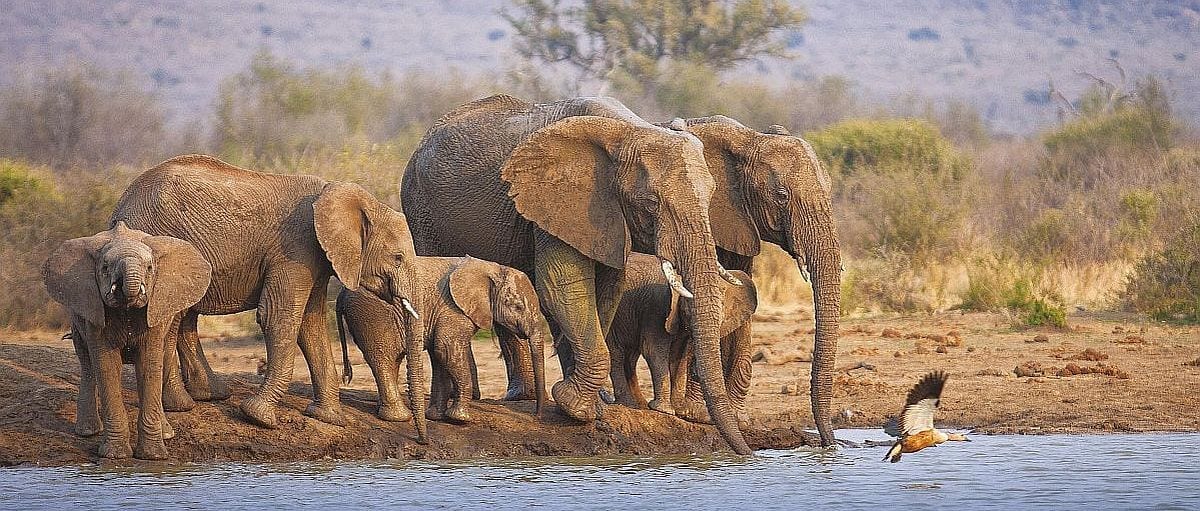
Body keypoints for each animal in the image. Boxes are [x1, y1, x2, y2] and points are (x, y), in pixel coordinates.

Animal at [42, 222, 212, 459]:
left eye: (150, 268)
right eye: (105, 267)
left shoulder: (156, 309)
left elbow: (149, 364)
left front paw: (153, 457)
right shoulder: (93, 309)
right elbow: (107, 365)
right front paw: (115, 456)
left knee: (162, 357)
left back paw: (166, 433)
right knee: (88, 364)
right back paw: (87, 431)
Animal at [110, 154, 427, 440]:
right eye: (398, 258)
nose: (419, 438)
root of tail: (120, 209)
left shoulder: (314, 257)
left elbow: (310, 323)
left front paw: (329, 418)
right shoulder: (295, 249)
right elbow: (279, 317)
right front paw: (258, 417)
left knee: (185, 318)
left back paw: (210, 395)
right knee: (173, 319)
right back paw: (181, 405)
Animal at [336, 255, 546, 428]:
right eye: (518, 307)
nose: (536, 416)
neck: (492, 268)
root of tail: (341, 293)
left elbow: (440, 358)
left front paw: (437, 417)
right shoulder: (453, 309)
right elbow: (445, 350)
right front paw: (460, 419)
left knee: (392, 360)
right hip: (373, 315)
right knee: (384, 359)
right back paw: (400, 417)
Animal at [606, 253, 757, 417]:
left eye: (722, 315)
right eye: (689, 309)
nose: (696, 372)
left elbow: (680, 356)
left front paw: (681, 409)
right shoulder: (657, 308)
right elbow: (652, 350)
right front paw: (665, 410)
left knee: (631, 357)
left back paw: (641, 405)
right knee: (616, 353)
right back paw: (628, 404)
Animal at [662, 116, 842, 446]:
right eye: (781, 195)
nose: (829, 445)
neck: (749, 141)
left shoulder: (738, 224)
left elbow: (742, 293)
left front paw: (738, 418)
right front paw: (700, 414)